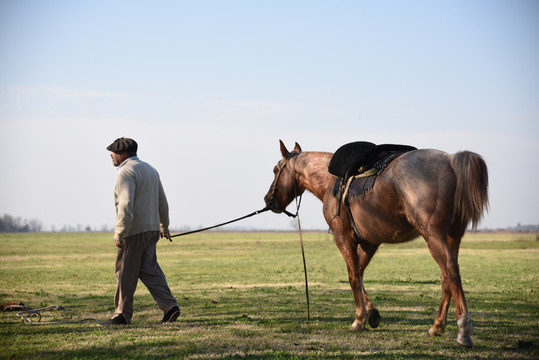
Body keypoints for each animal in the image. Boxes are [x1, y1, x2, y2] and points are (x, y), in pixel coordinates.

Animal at [264, 139, 490, 348]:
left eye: (275, 170)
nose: (268, 200)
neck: (330, 181)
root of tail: (450, 161)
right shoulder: (369, 243)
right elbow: (360, 273)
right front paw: (371, 312)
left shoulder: (343, 238)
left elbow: (353, 276)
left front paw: (359, 319)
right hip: (452, 237)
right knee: (446, 277)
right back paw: (437, 326)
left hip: (433, 235)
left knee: (451, 271)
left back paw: (463, 331)